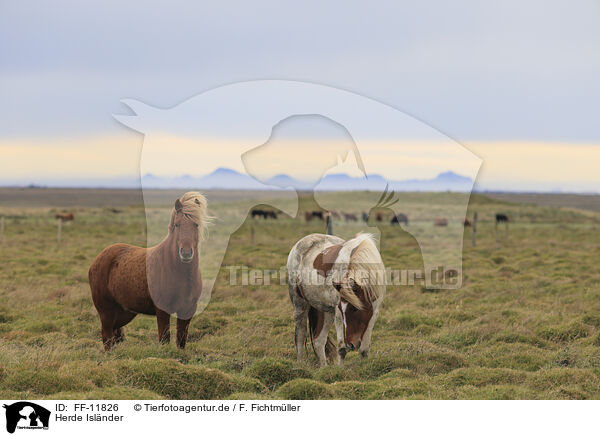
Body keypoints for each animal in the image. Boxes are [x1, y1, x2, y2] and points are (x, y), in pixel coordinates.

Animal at [88, 192, 211, 350]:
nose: (186, 253)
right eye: (177, 225)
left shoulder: (187, 309)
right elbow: (164, 338)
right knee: (107, 335)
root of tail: (98, 258)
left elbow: (181, 340)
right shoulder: (162, 311)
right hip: (106, 310)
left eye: (196, 224)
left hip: (123, 312)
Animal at [286, 233, 384, 366]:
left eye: (355, 309)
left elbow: (364, 350)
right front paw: (340, 369)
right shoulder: (338, 312)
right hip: (300, 305)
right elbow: (341, 349)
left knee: (319, 341)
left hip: (325, 311)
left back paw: (324, 368)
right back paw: (300, 364)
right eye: (344, 311)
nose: (351, 344)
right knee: (300, 336)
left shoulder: (373, 313)